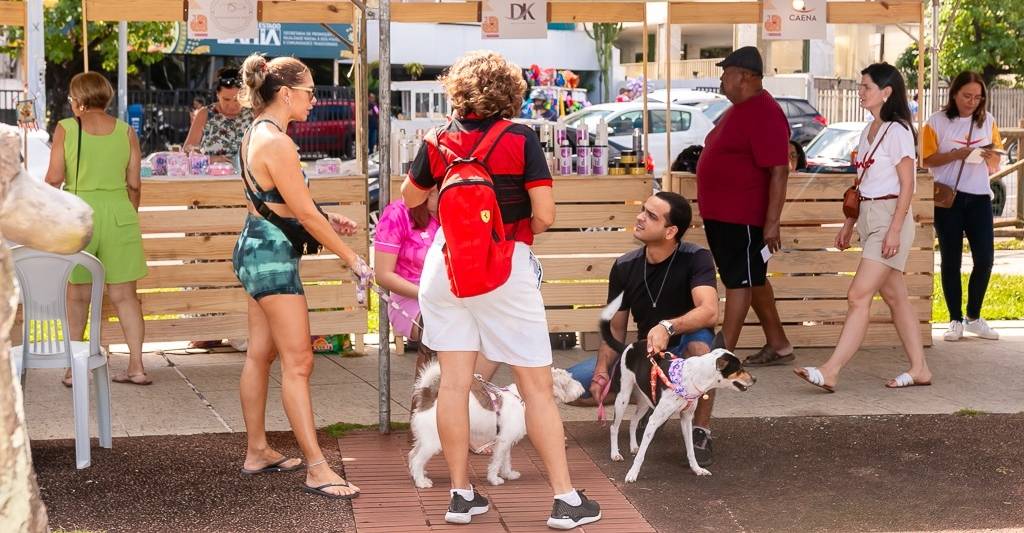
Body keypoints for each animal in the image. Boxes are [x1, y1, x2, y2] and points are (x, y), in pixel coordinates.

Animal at [407, 360, 585, 489]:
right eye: (568, 382)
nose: (582, 389)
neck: (522, 400)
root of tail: (428, 398)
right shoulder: (503, 441)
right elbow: (497, 461)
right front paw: (494, 479)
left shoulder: (506, 440)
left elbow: (506, 459)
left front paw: (508, 474)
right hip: (433, 442)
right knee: (417, 460)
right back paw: (421, 482)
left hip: (424, 440)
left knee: (412, 454)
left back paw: (419, 474)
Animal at [598, 292, 753, 480]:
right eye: (739, 369)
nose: (754, 379)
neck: (691, 377)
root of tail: (629, 346)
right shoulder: (654, 419)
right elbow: (642, 454)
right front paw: (632, 474)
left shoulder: (686, 418)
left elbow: (691, 450)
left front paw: (697, 469)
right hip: (623, 398)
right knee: (614, 427)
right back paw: (615, 453)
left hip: (644, 400)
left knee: (633, 421)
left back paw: (634, 446)